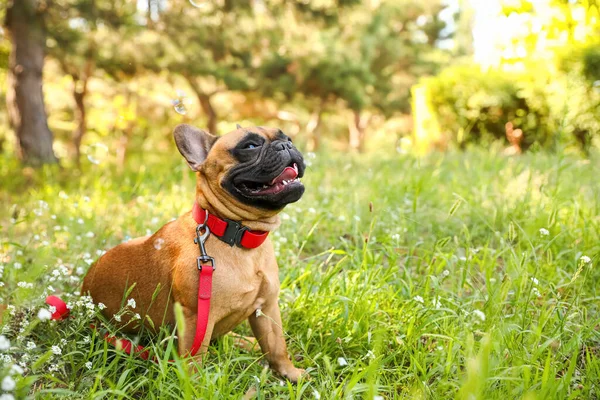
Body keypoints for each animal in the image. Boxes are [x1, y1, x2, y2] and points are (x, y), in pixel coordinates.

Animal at [82, 125, 308, 382]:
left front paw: (291, 374)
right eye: (250, 146)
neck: (237, 234)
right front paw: (196, 385)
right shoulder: (196, 317)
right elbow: (195, 360)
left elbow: (277, 347)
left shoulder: (268, 309)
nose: (286, 145)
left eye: (288, 138)